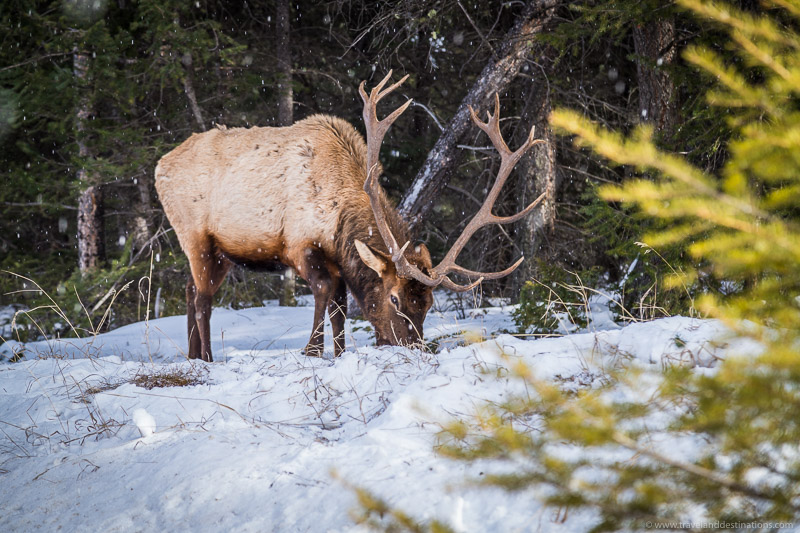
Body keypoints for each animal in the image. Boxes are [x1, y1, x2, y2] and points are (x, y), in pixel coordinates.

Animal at [154, 71, 544, 362]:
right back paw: (207, 357)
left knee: (191, 288)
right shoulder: (300, 245)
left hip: (223, 251)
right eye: (394, 298)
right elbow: (325, 293)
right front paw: (312, 350)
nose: (415, 348)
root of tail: (160, 165)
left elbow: (340, 308)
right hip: (194, 234)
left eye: (429, 303)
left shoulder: (340, 258)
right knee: (203, 299)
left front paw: (339, 353)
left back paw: (192, 355)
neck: (338, 218)